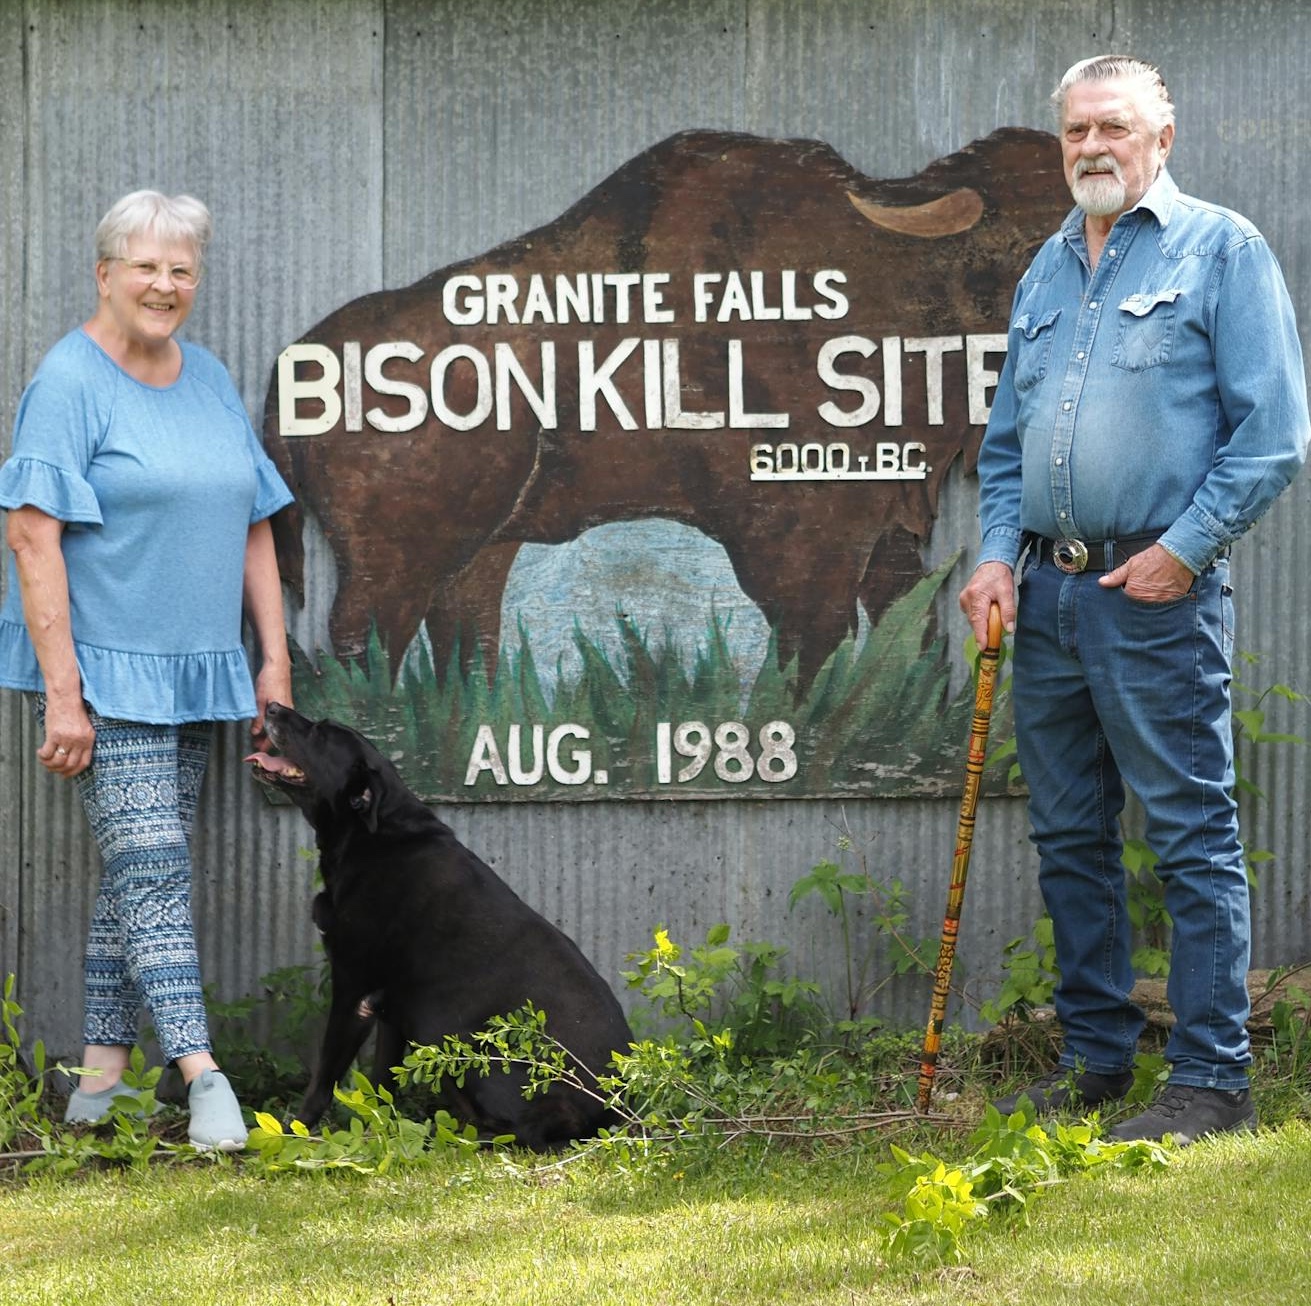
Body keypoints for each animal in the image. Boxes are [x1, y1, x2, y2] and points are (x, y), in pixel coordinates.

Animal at [248, 703, 633, 1149]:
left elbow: (324, 1077)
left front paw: (294, 1129)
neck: (373, 836)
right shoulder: (389, 1006)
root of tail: (615, 1109)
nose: (272, 706)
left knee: (536, 1127)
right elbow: (381, 1082)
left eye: (321, 733)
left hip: (449, 1033)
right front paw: (379, 1129)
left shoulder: (352, 989)